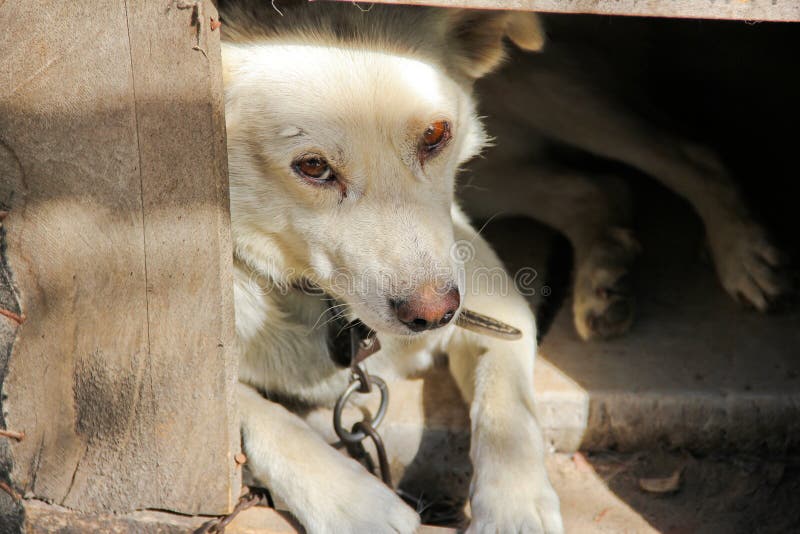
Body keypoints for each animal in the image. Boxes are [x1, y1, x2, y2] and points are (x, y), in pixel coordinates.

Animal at [219, 1, 564, 534]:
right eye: (313, 167)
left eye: (435, 136)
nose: (435, 315)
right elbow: (254, 413)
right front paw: (354, 503)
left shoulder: (494, 304)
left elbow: (508, 404)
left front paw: (516, 505)